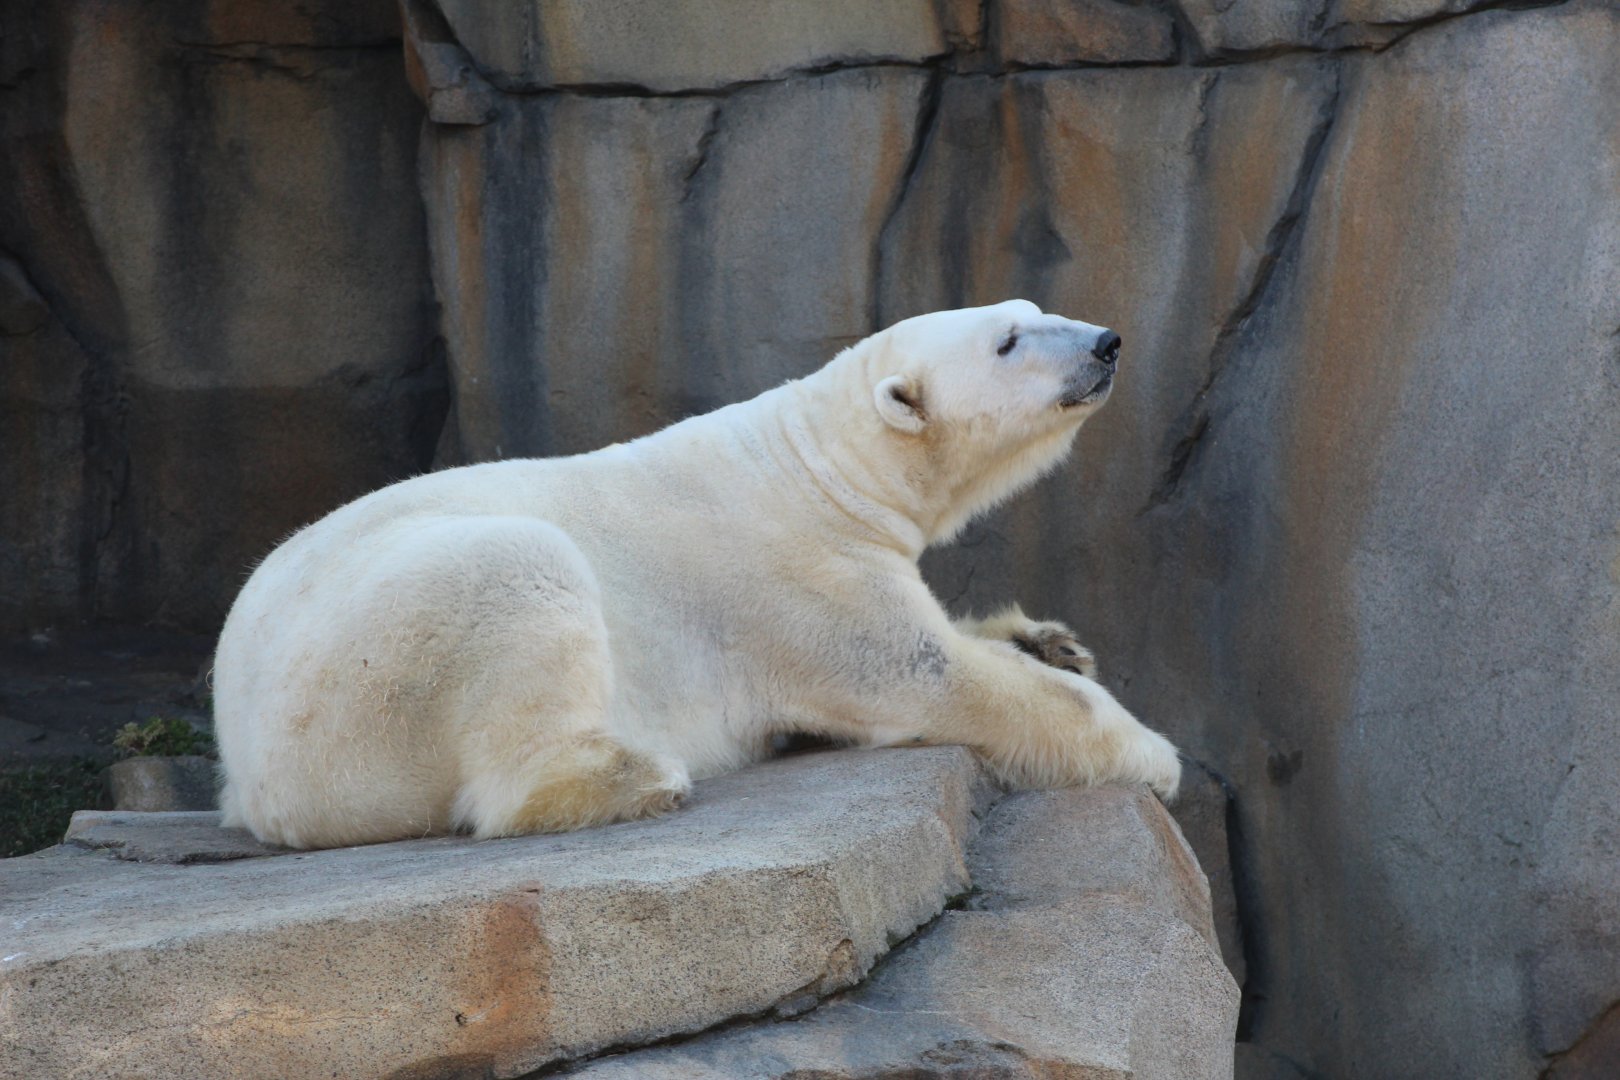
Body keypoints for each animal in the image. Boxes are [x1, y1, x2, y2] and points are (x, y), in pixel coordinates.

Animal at [213, 300, 1182, 849]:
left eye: (1037, 308)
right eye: (1010, 341)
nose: (1106, 343)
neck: (819, 465)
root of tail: (246, 774)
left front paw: (1050, 641)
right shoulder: (801, 578)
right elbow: (924, 673)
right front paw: (1153, 755)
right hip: (364, 674)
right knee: (521, 573)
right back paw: (636, 776)